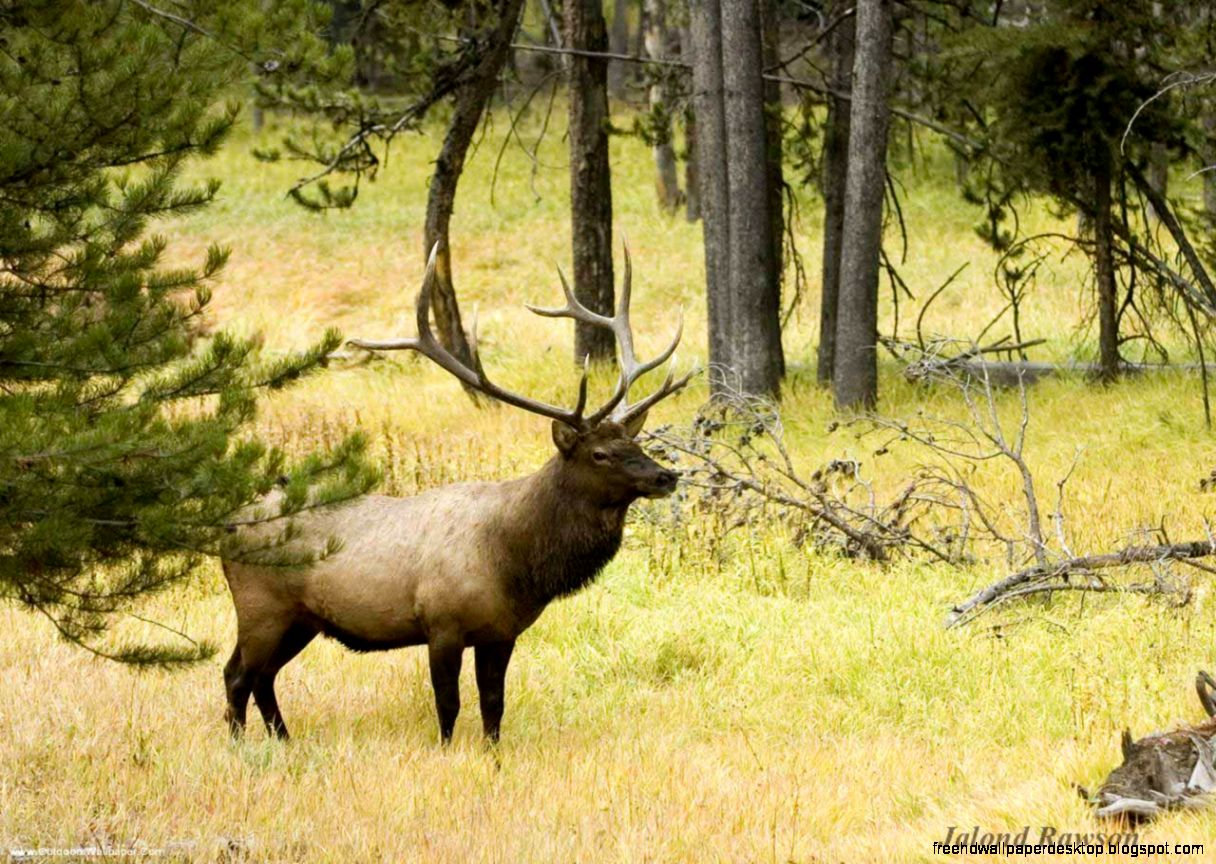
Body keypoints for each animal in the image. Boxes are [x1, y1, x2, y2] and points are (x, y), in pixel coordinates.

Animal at [220, 244, 693, 744]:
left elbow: (493, 704)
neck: (516, 563)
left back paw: (282, 739)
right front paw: (446, 750)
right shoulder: (441, 623)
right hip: (261, 606)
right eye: (600, 454)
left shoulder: (501, 632)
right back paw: (239, 745)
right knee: (238, 674)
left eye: (635, 445)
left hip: (300, 620)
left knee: (263, 677)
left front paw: (492, 752)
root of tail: (226, 524)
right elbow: (448, 704)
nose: (666, 477)